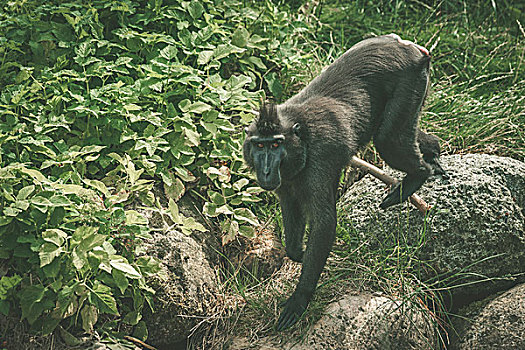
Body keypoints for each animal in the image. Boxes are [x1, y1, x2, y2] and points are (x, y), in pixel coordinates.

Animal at [244, 34, 444, 330]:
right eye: (259, 145)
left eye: (275, 145)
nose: (267, 170)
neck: (300, 136)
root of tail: (407, 46)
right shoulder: (287, 183)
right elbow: (291, 211)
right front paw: (298, 253)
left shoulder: (320, 159)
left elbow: (325, 222)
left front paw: (300, 298)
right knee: (402, 133)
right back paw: (433, 151)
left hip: (410, 82)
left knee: (388, 139)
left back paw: (419, 174)